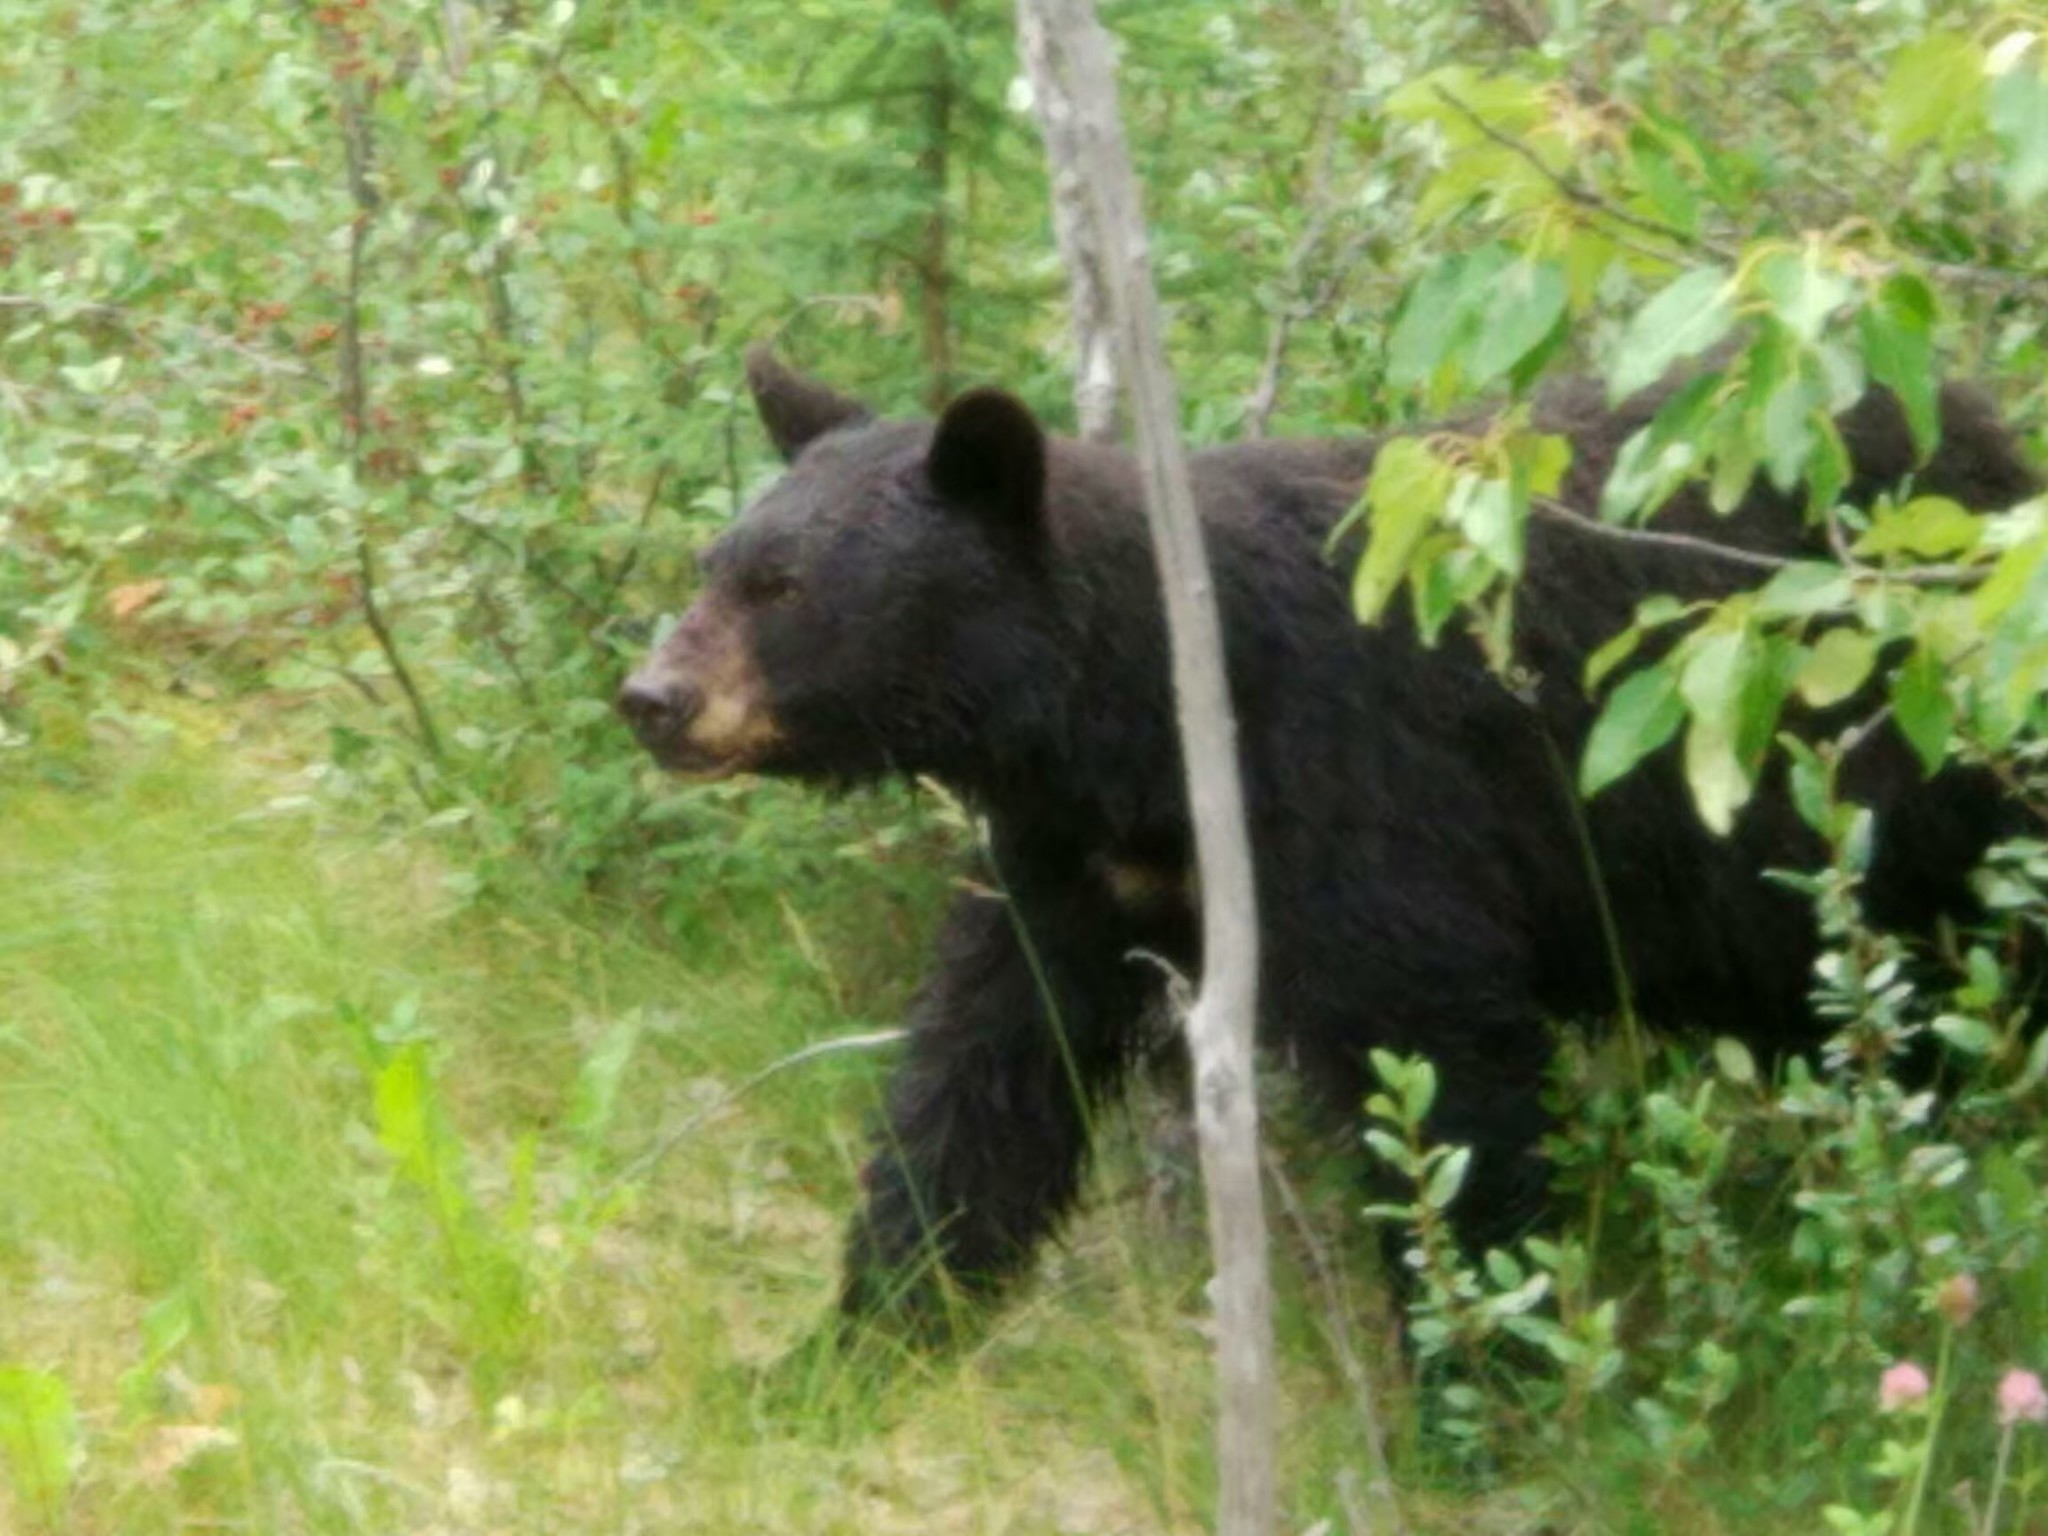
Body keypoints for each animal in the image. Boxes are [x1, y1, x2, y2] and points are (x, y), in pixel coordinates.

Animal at [614, 348, 2039, 1335]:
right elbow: (987, 1074)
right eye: (714, 559)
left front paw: (1478, 1389)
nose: (652, 698)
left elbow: (1441, 1073)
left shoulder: (1351, 796)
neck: (1144, 725)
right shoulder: (1072, 862)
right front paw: (858, 1341)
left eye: (784, 587)